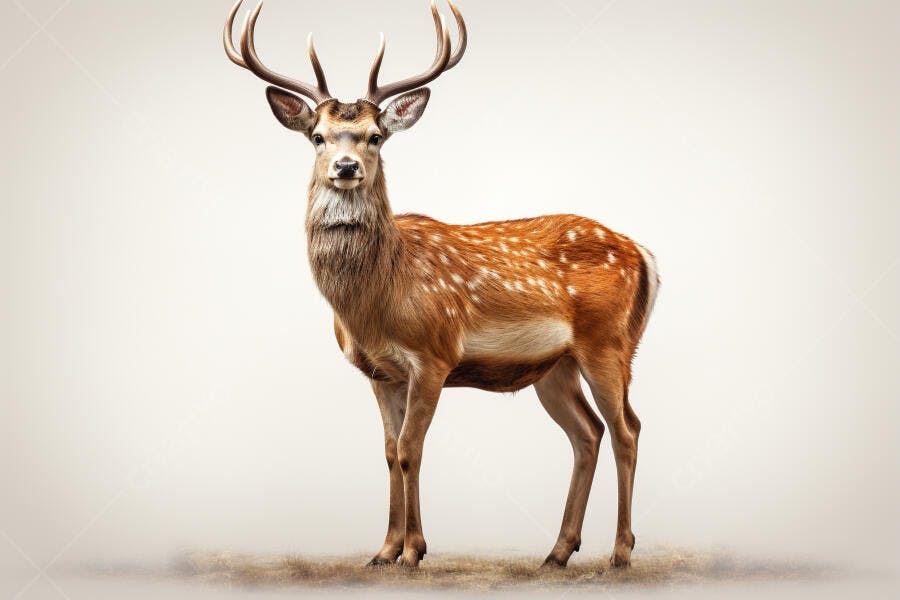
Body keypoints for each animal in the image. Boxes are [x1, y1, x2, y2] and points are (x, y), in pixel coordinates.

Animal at [224, 0, 659, 570]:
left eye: (375, 136)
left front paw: (413, 551)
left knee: (628, 428)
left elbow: (413, 449)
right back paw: (558, 552)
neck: (375, 303)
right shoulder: (380, 372)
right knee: (588, 432)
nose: (346, 166)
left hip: (609, 342)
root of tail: (643, 254)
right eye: (317, 136)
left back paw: (621, 553)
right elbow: (390, 452)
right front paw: (385, 550)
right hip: (555, 366)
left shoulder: (433, 355)